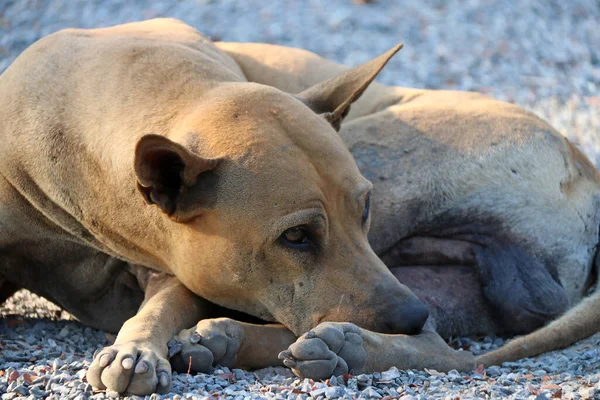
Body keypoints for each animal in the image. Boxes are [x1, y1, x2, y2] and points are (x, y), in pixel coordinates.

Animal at [0, 18, 478, 394]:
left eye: (365, 209)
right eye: (296, 236)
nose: (415, 317)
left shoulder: (178, 267)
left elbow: (161, 308)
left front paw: (136, 348)